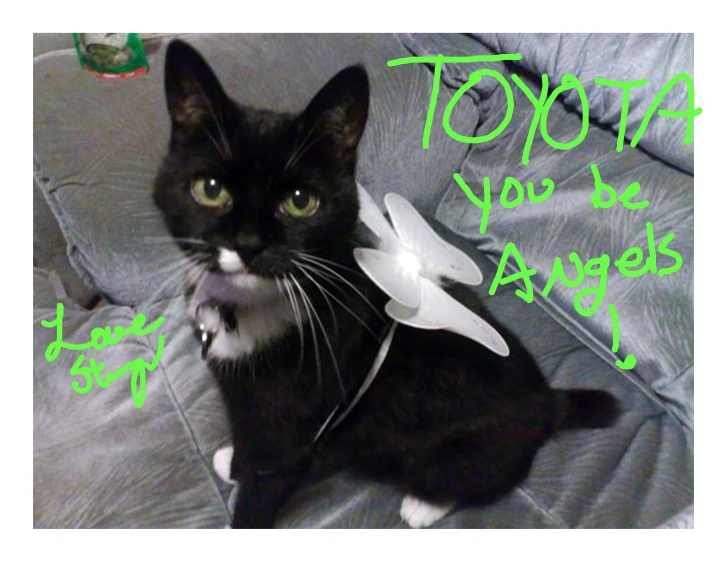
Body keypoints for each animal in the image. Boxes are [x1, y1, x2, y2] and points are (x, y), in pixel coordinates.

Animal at [154, 39, 620, 524]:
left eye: (301, 201)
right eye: (210, 189)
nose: (249, 244)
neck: (252, 310)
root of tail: (547, 400)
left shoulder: (296, 417)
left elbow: (268, 477)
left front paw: (244, 492)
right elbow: (250, 444)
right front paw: (234, 461)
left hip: (463, 449)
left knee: (479, 477)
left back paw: (424, 505)